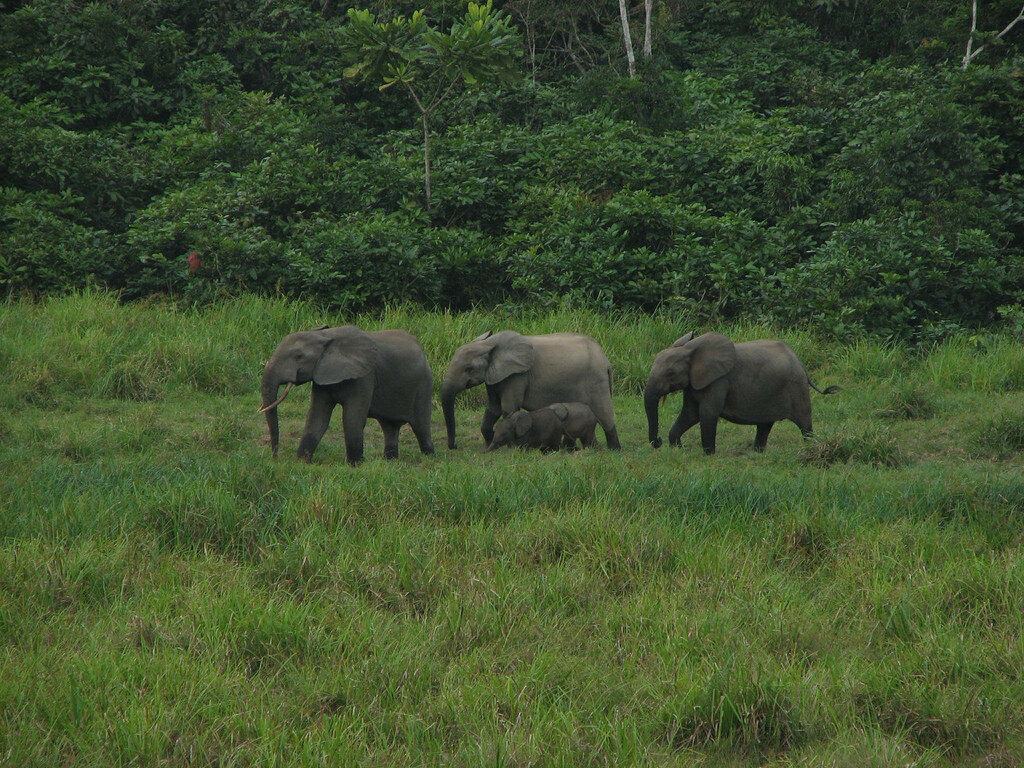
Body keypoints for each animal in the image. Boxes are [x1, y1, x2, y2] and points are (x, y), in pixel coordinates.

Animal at [258, 323, 434, 466]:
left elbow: (352, 419)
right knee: (389, 426)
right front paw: (301, 462)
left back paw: (429, 458)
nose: (275, 457)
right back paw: (389, 461)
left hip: (424, 384)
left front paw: (355, 465)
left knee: (421, 426)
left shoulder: (364, 376)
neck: (326, 337)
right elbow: (317, 419)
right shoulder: (321, 375)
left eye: (299, 356)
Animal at [438, 329, 618, 450]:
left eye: (468, 368)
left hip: (596, 381)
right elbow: (493, 408)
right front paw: (488, 445)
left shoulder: (517, 376)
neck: (488, 344)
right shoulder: (494, 376)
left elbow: (508, 408)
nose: (455, 446)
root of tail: (606, 361)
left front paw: (508, 448)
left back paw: (614, 450)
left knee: (605, 414)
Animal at [647, 331, 839, 454]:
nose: (658, 442)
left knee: (804, 423)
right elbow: (690, 413)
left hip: (797, 388)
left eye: (670, 373)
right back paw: (757, 453)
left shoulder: (719, 380)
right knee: (765, 424)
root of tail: (800, 363)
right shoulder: (695, 382)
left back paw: (809, 448)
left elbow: (707, 413)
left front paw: (708, 455)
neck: (690, 350)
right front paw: (677, 449)